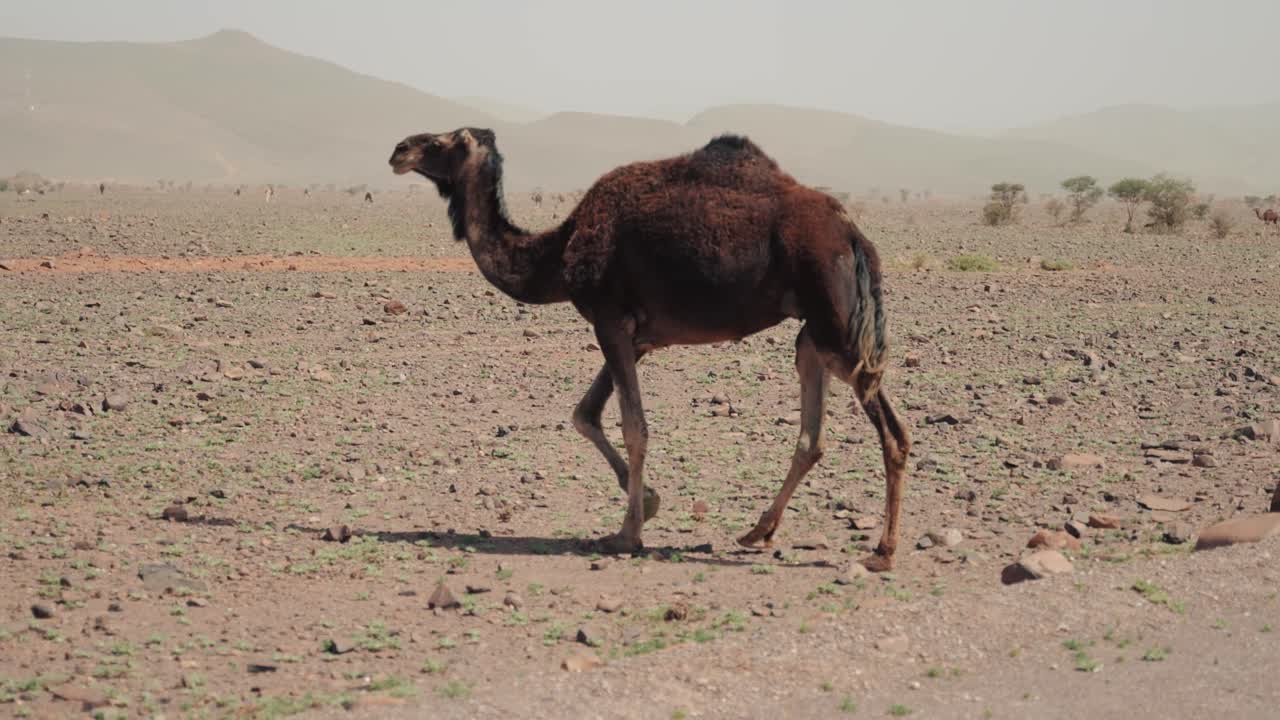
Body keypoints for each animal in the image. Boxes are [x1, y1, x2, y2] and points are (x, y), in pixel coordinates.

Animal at [388, 128, 910, 570]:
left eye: (443, 141)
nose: (399, 150)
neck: (559, 252)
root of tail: (854, 237)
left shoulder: (610, 321)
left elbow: (633, 427)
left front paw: (626, 534)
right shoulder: (636, 337)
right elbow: (585, 414)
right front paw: (651, 503)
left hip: (837, 325)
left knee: (892, 431)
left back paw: (881, 552)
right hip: (815, 334)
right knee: (813, 434)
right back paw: (758, 531)